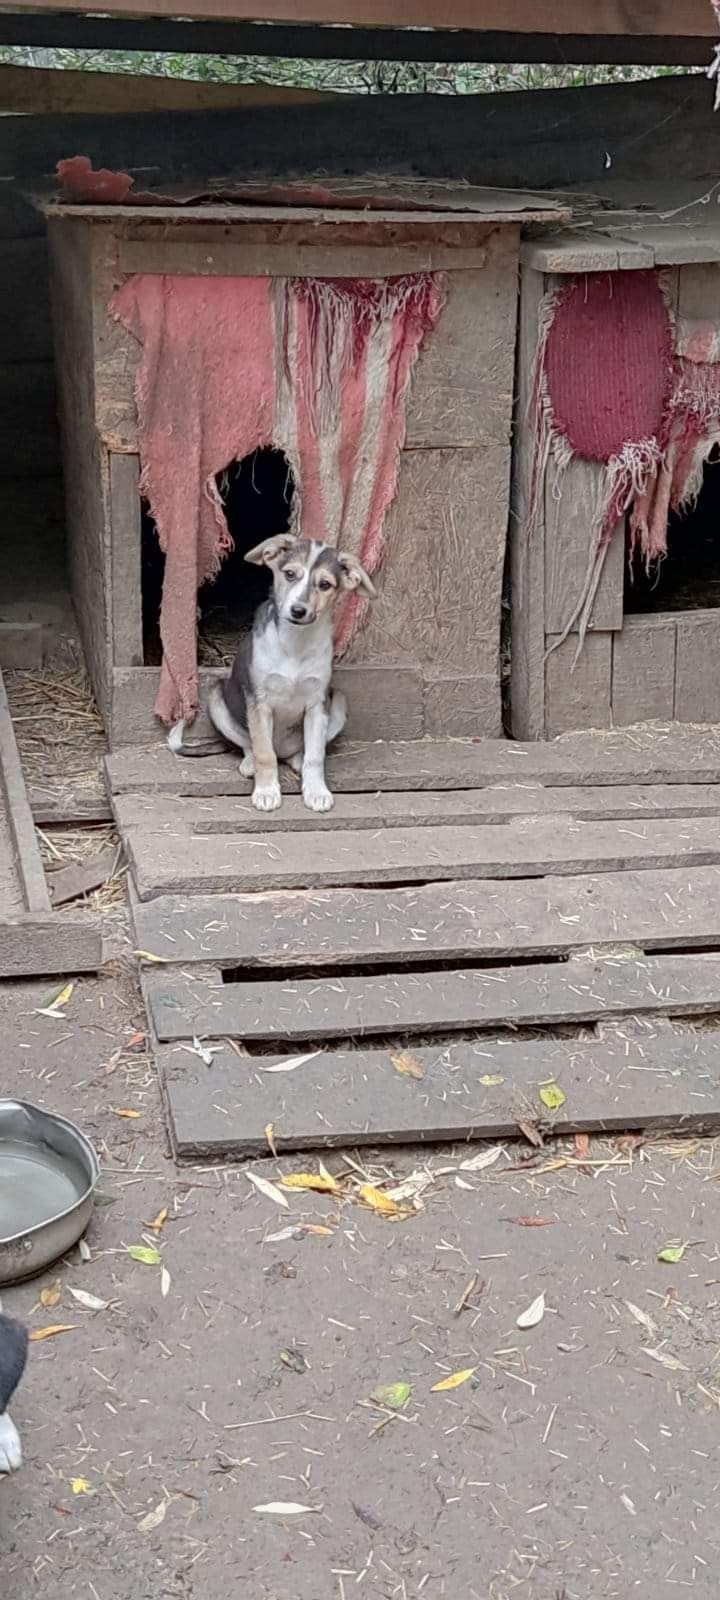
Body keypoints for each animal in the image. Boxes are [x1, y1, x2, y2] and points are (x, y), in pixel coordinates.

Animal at [169, 534, 377, 812]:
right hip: (216, 698)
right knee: (253, 747)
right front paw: (266, 792)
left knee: (302, 752)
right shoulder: (259, 703)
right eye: (290, 574)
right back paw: (250, 765)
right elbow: (264, 754)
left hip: (339, 701)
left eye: (324, 584)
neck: (296, 644)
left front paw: (316, 791)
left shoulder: (317, 704)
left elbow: (316, 756)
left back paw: (298, 761)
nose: (298, 610)